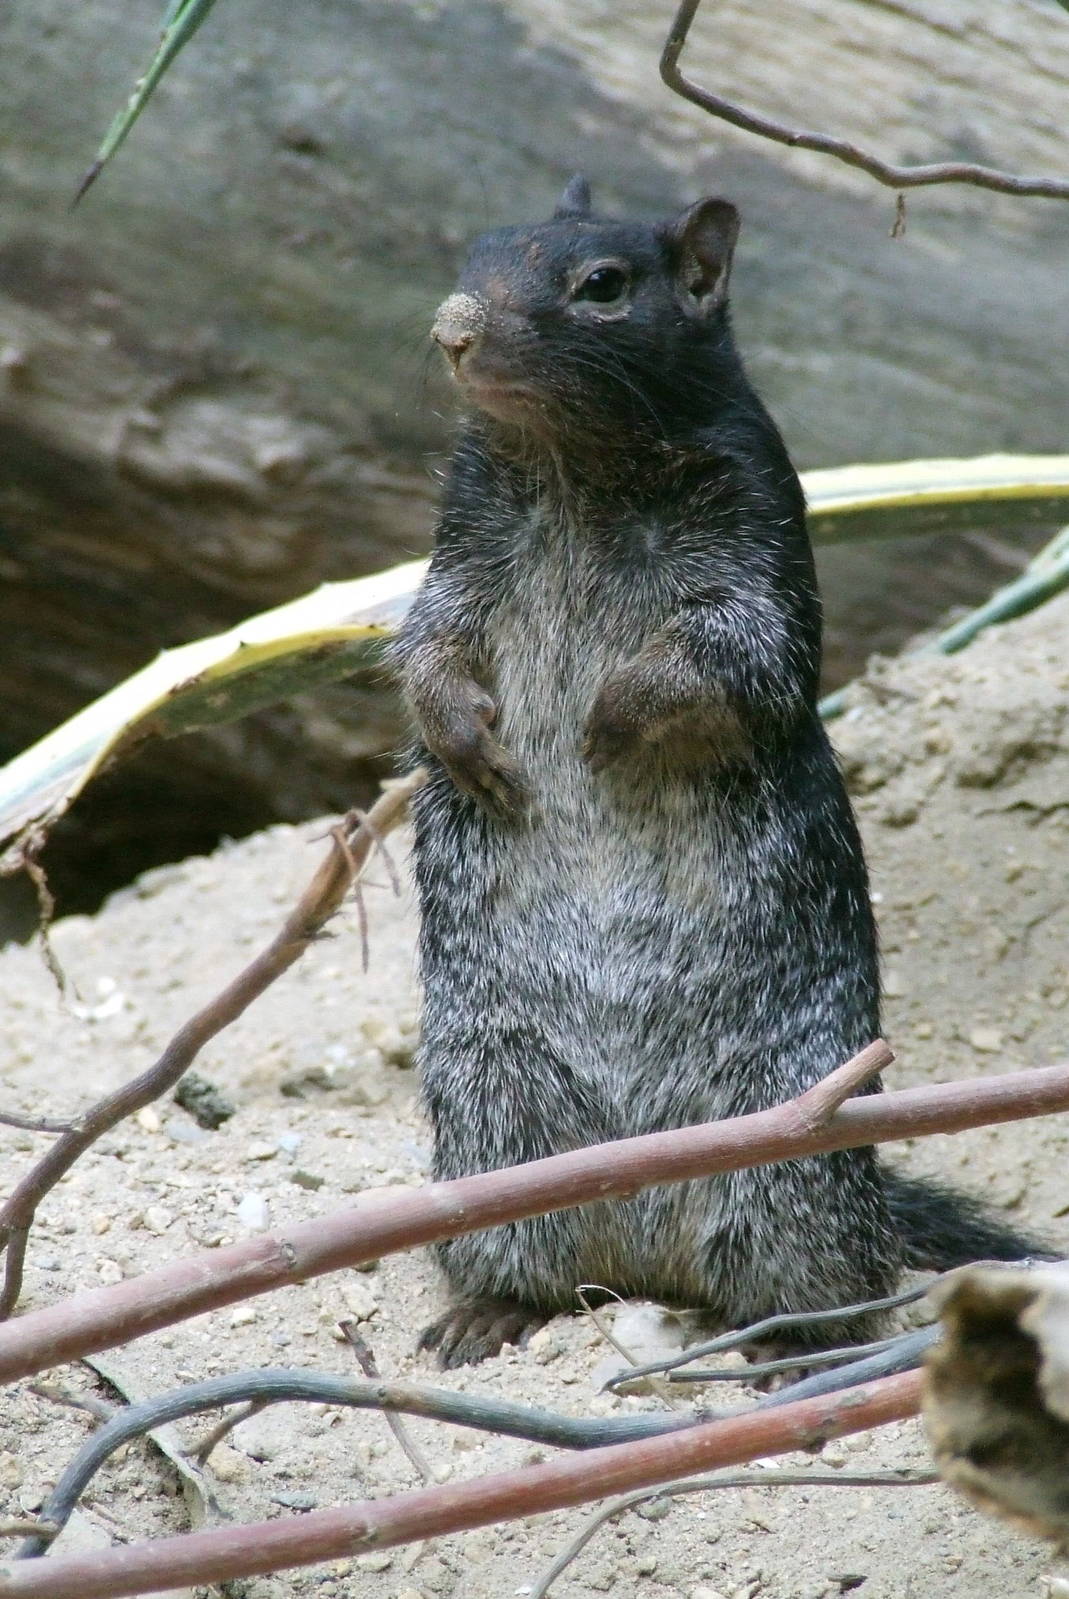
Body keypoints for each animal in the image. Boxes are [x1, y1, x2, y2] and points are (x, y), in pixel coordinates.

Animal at [394, 177, 1040, 1368]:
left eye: (602, 285)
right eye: (476, 250)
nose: (453, 328)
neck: (572, 464)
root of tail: (644, 1243)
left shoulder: (753, 529)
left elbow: (728, 648)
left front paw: (604, 721)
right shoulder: (458, 538)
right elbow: (429, 637)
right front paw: (469, 738)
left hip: (792, 1151)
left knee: (831, 1279)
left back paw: (789, 1344)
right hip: (489, 1112)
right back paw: (487, 1312)